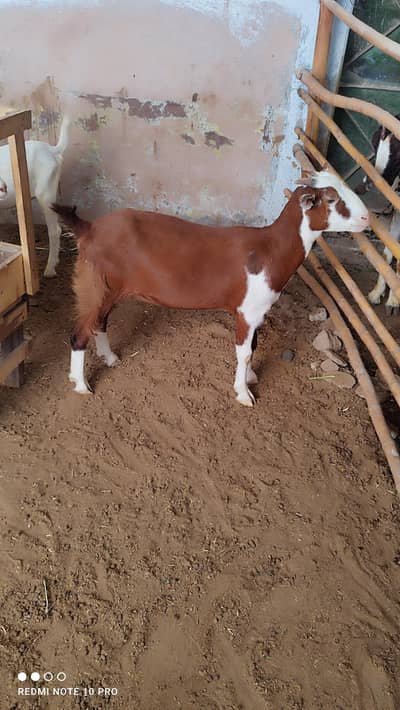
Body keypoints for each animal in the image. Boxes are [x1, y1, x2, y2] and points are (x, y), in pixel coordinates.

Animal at [53, 171, 369, 406]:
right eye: (332, 199)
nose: (367, 218)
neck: (270, 250)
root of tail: (89, 229)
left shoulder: (256, 312)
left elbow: (254, 346)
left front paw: (250, 378)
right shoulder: (247, 312)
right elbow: (245, 351)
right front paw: (243, 393)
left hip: (107, 288)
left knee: (99, 322)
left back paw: (110, 358)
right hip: (93, 284)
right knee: (79, 333)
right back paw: (81, 385)